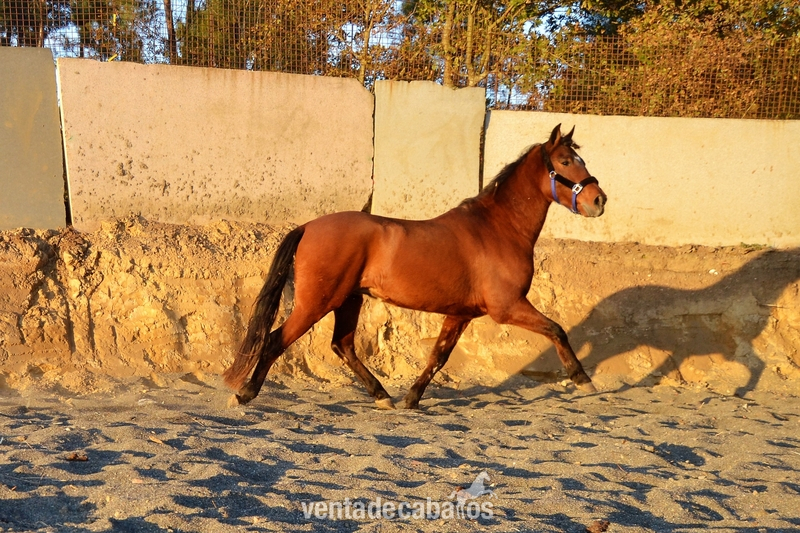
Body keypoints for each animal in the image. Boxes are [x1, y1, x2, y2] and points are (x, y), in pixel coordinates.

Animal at [223, 124, 607, 409]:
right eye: (565, 161)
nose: (598, 200)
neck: (498, 229)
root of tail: (307, 227)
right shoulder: (507, 306)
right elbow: (557, 329)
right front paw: (583, 380)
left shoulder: (461, 314)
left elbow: (438, 356)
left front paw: (411, 398)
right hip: (316, 302)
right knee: (276, 340)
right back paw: (244, 394)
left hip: (349, 300)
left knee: (342, 346)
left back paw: (383, 397)